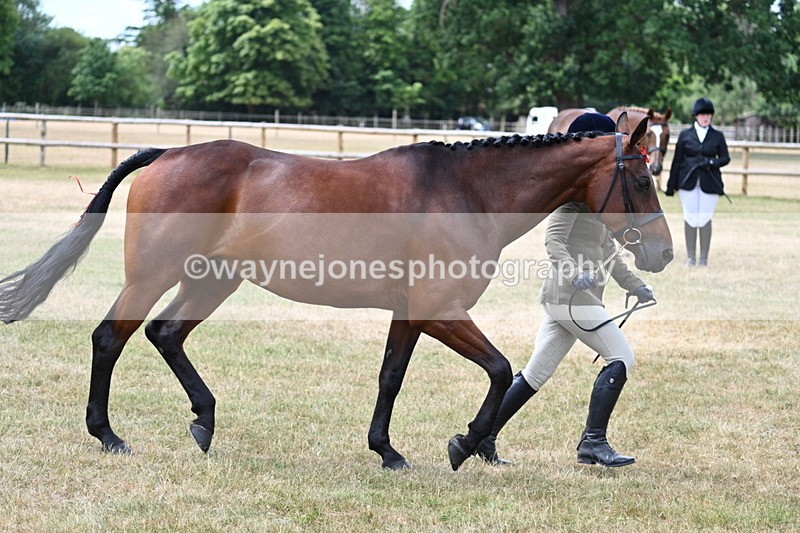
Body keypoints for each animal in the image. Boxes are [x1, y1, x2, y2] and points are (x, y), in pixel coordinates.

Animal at [0, 113, 673, 472]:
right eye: (641, 179)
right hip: (154, 276)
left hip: (212, 280)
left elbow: (391, 377)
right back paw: (109, 435)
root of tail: (167, 153)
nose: (663, 253)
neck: (467, 193)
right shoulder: (438, 309)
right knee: (110, 336)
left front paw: (388, 451)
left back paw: (204, 422)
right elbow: (500, 367)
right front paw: (463, 443)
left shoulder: (410, 313)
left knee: (166, 335)